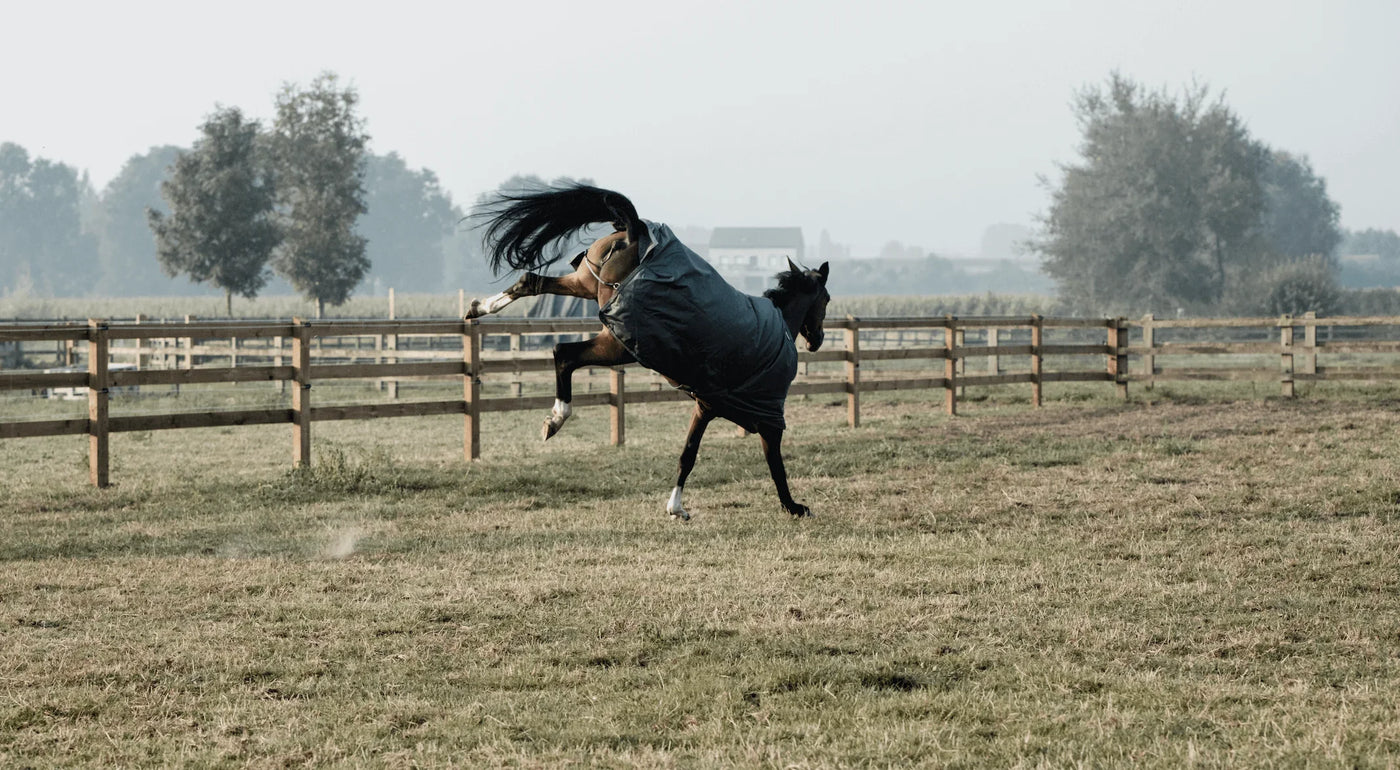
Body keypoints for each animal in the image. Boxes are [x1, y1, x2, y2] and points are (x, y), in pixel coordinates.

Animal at [465, 183, 831, 519]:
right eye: (826, 300)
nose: (817, 340)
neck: (777, 325)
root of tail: (635, 230)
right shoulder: (766, 416)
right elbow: (775, 463)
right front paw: (794, 506)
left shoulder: (705, 405)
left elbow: (688, 454)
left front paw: (676, 507)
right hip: (618, 344)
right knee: (564, 353)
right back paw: (555, 419)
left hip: (587, 288)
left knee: (531, 282)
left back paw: (480, 308)